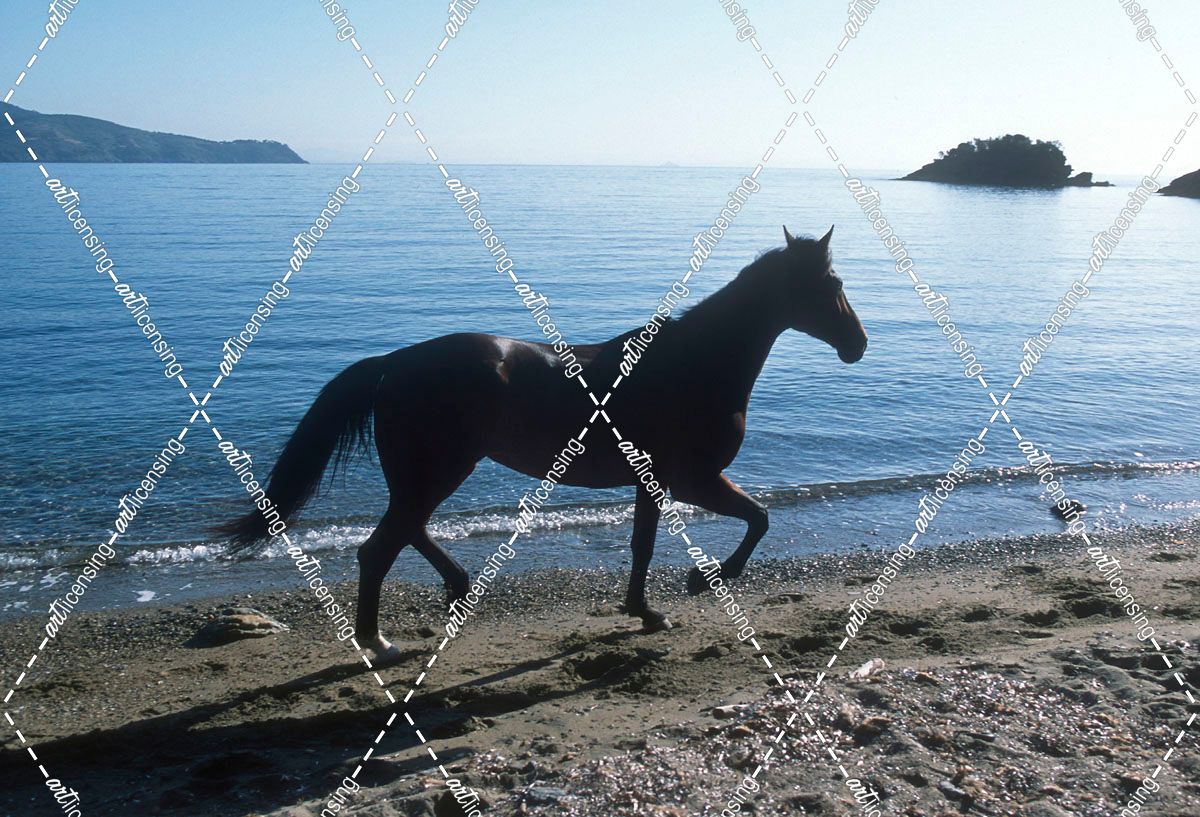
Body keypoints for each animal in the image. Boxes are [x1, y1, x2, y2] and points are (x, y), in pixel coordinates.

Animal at [219, 226, 867, 662]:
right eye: (832, 283)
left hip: (425, 474)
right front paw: (700, 581)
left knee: (410, 531)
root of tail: (394, 363)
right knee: (380, 548)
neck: (693, 365)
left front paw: (646, 611)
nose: (857, 344)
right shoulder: (693, 478)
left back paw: (455, 589)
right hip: (439, 469)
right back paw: (379, 642)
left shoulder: (652, 482)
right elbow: (758, 517)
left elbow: (644, 546)